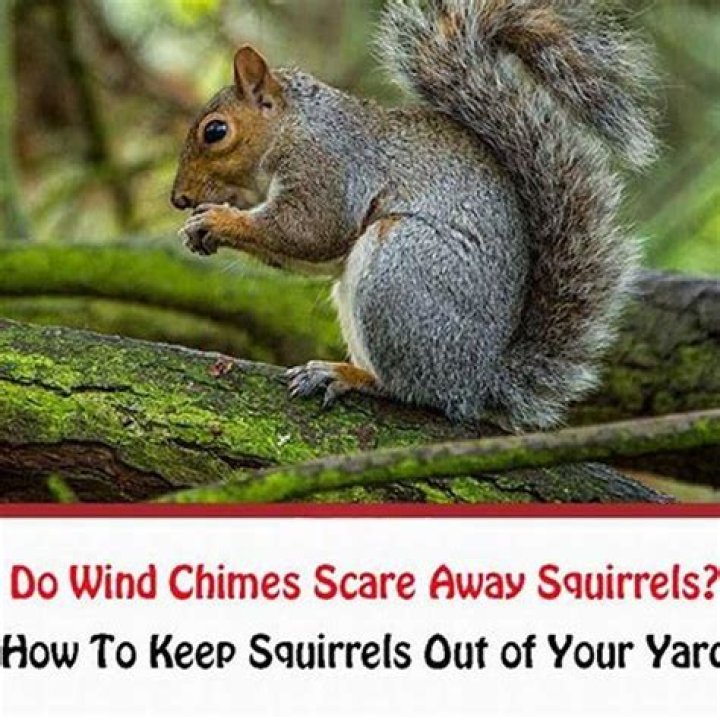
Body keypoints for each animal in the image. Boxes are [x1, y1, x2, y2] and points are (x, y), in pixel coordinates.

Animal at [171, 0, 658, 431]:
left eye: (216, 132)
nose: (179, 198)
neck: (294, 127)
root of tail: (478, 380)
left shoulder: (328, 166)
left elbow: (310, 229)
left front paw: (217, 221)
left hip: (399, 267)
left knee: (410, 388)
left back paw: (349, 375)